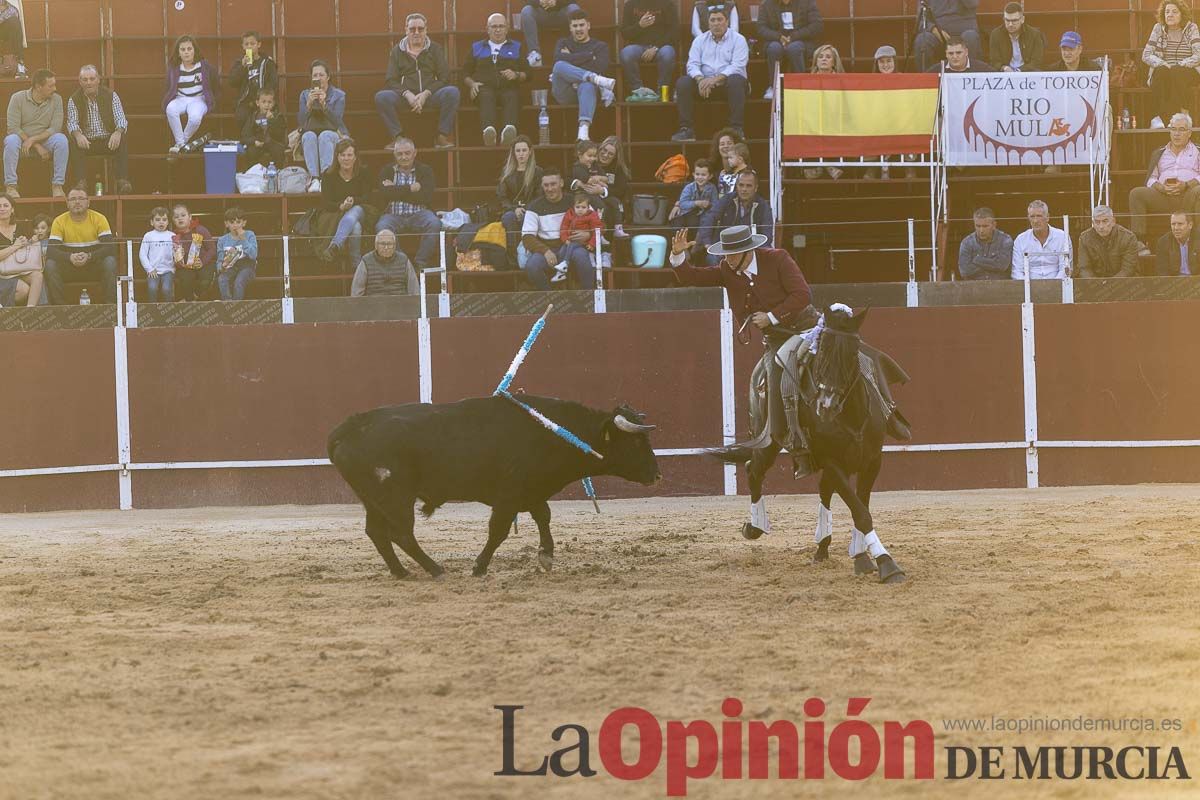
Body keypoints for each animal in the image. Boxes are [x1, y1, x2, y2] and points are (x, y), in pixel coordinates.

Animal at [328, 398, 662, 578]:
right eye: (635, 441)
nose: (657, 474)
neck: (550, 432)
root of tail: (352, 426)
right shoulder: (509, 495)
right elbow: (498, 530)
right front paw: (479, 566)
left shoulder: (531, 491)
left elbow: (544, 516)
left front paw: (546, 556)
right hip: (396, 498)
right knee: (400, 534)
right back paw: (436, 569)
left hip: (373, 499)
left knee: (377, 532)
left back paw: (401, 571)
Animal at [705, 303, 902, 585]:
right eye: (821, 350)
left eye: (853, 352)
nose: (826, 406)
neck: (850, 415)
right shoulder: (831, 460)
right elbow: (861, 512)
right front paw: (887, 564)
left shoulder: (873, 460)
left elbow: (860, 506)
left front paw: (863, 557)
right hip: (769, 441)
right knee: (753, 468)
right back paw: (754, 527)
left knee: (823, 489)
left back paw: (824, 547)